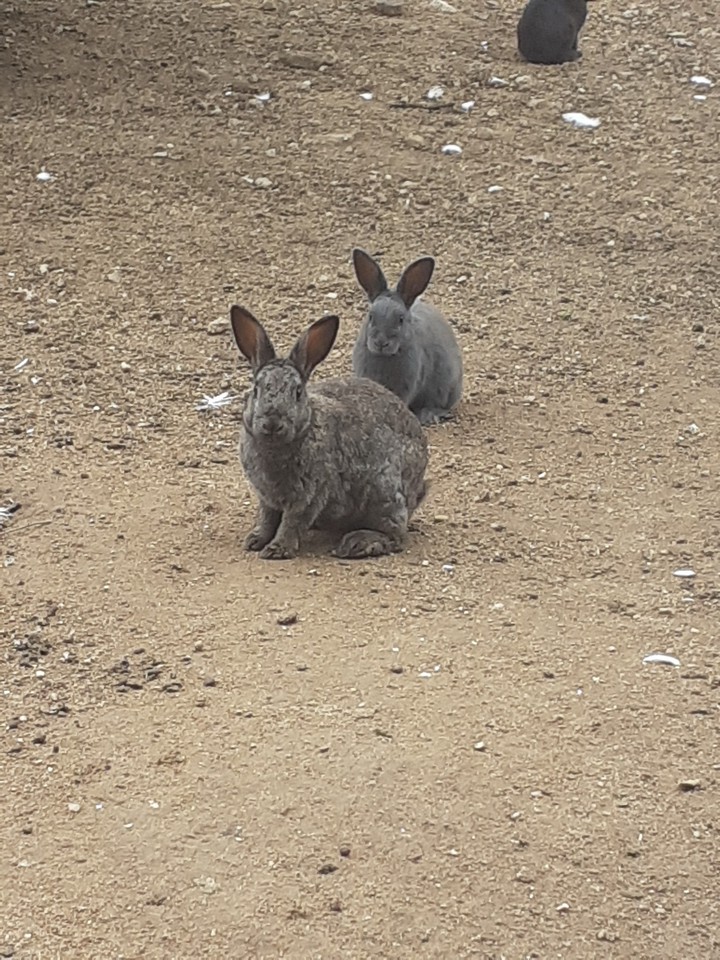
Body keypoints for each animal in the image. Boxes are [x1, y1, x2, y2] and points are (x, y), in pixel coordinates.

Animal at [230, 304, 429, 561]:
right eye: (256, 389)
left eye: (297, 392)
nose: (272, 423)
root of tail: (417, 489)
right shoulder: (267, 498)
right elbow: (267, 519)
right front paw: (255, 540)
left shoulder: (309, 494)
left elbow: (292, 522)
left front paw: (277, 549)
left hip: (385, 493)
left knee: (397, 536)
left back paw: (356, 544)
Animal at [351, 248, 463, 426]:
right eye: (370, 316)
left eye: (401, 319)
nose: (381, 343)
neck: (385, 357)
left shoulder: (407, 384)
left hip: (446, 387)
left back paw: (428, 415)